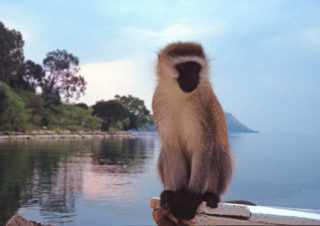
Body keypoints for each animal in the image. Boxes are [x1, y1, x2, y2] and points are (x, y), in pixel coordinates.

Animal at [152, 41, 232, 220]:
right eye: (183, 67)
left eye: (195, 67)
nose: (192, 77)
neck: (179, 95)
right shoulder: (158, 101)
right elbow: (171, 145)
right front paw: (177, 193)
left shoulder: (204, 104)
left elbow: (205, 144)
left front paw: (190, 197)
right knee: (165, 152)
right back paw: (169, 192)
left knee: (217, 149)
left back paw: (209, 195)